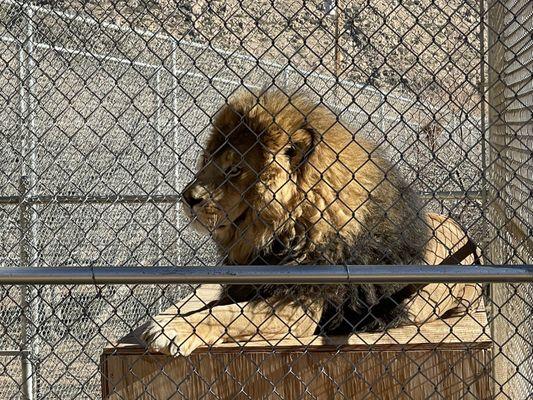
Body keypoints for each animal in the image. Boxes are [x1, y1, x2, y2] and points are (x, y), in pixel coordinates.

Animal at [140, 86, 478, 356]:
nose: (188, 198)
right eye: (208, 161)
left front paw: (171, 329)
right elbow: (213, 306)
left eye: (234, 169)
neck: (280, 233)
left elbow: (229, 315)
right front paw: (173, 319)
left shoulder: (299, 307)